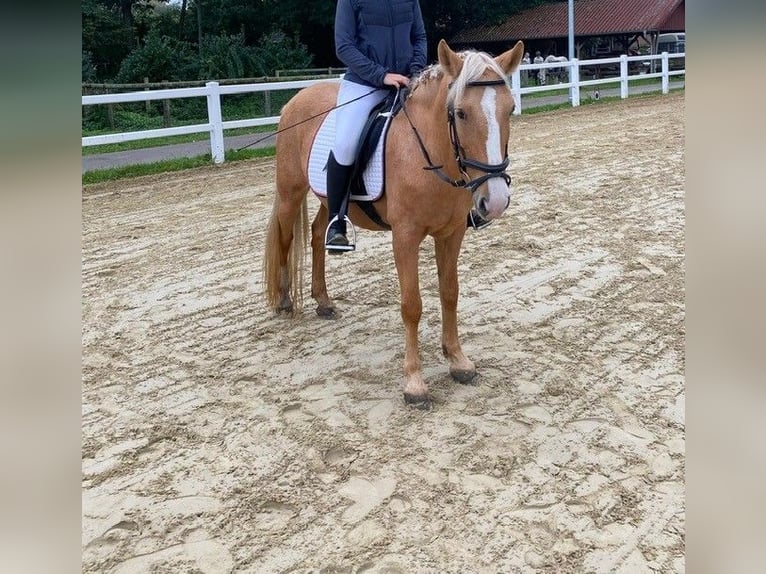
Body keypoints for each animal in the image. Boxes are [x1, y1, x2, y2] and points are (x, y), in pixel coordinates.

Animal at [266, 39, 528, 410]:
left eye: (510, 109)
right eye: (461, 113)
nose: (495, 201)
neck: (431, 155)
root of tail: (296, 98)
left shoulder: (452, 234)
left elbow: (450, 293)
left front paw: (458, 361)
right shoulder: (405, 238)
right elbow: (412, 305)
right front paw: (414, 383)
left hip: (328, 200)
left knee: (318, 235)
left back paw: (324, 300)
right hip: (291, 192)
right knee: (286, 239)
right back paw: (286, 301)